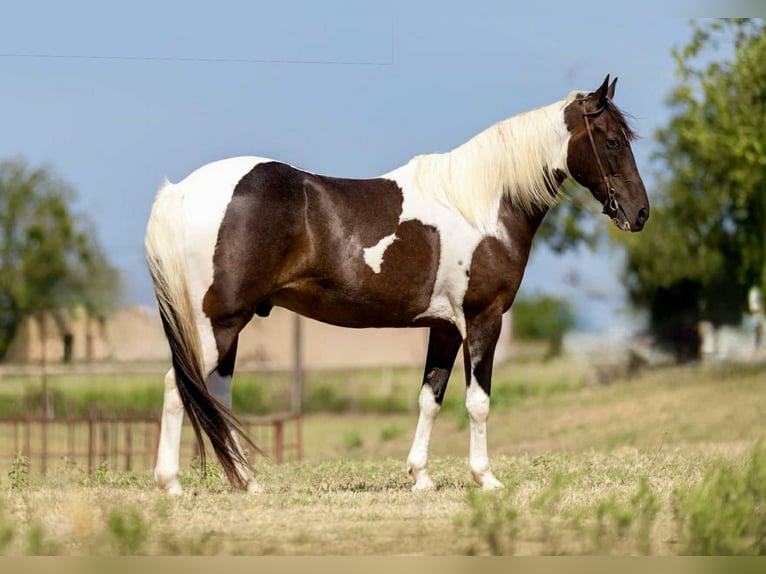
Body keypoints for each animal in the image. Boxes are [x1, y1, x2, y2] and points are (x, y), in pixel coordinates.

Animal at [145, 75, 649, 495]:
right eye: (611, 141)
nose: (640, 212)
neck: (483, 204)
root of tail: (181, 192)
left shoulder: (444, 328)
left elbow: (430, 399)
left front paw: (420, 477)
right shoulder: (482, 320)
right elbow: (478, 402)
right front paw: (485, 479)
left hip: (228, 325)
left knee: (215, 394)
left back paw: (248, 482)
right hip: (217, 323)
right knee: (178, 385)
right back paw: (171, 484)